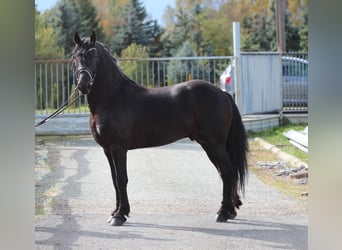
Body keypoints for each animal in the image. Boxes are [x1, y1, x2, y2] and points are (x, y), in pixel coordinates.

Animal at [73, 31, 248, 227]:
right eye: (75, 57)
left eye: (94, 55)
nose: (83, 85)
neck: (112, 98)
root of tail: (223, 94)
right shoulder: (107, 150)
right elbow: (114, 180)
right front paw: (115, 212)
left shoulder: (118, 148)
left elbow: (121, 179)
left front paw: (120, 215)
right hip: (208, 144)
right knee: (225, 172)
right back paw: (231, 210)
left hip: (215, 143)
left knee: (227, 171)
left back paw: (223, 212)